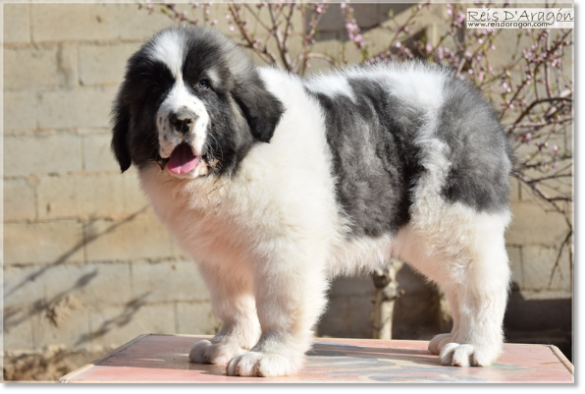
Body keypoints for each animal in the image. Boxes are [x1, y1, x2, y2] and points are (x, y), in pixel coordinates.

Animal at [109, 26, 512, 378]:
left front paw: (266, 356)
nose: (181, 119)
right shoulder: (219, 257)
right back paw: (453, 337)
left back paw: (473, 346)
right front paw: (225, 344)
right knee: (460, 285)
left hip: (450, 220)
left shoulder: (283, 250)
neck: (234, 164)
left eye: (205, 85)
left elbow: (278, 307)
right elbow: (233, 306)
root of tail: (471, 100)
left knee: (480, 283)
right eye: (155, 91)